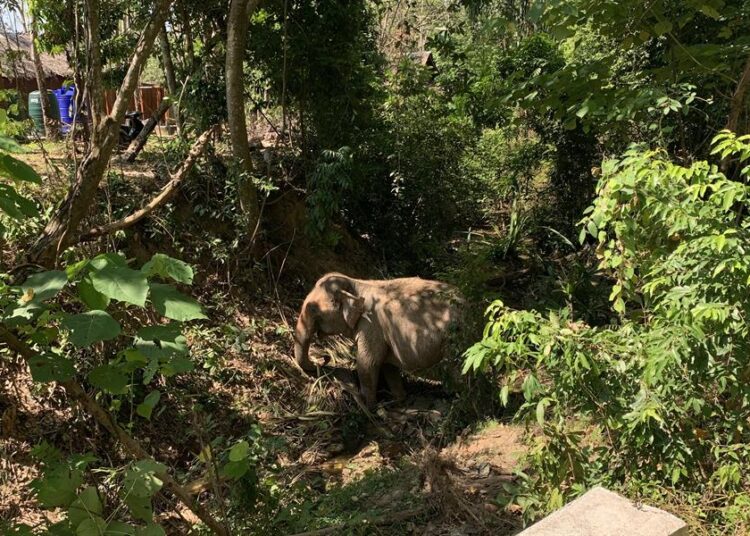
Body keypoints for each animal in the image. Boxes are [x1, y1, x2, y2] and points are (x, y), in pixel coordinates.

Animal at [293, 272, 464, 408]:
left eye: (313, 308)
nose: (324, 358)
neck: (357, 283)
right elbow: (388, 366)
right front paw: (398, 401)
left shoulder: (370, 325)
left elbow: (367, 364)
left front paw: (367, 406)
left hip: (453, 341)